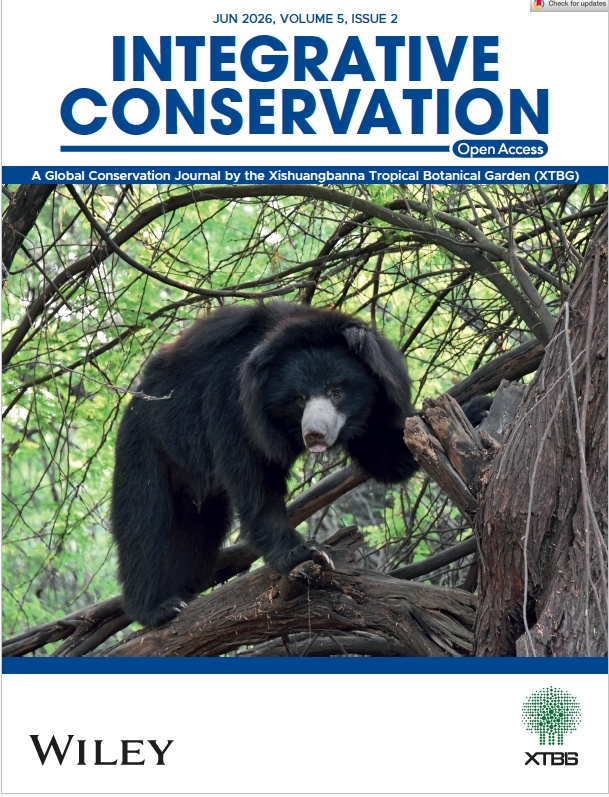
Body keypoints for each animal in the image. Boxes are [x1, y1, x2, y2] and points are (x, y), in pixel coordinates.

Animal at [111, 301, 490, 627]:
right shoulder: (232, 404)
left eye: (337, 391)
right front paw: (306, 553)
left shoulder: (374, 403)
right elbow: (253, 478)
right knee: (144, 520)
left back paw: (186, 592)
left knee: (199, 531)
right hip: (148, 441)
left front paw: (477, 409)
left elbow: (384, 454)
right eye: (298, 398)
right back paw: (159, 607)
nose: (315, 434)